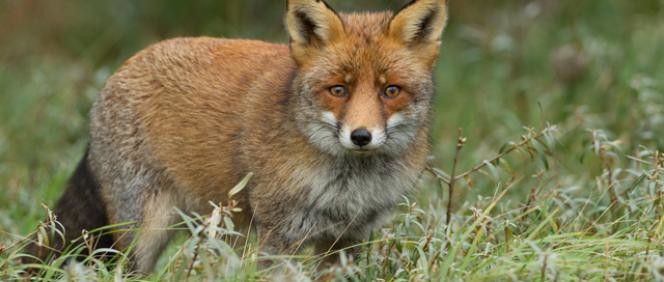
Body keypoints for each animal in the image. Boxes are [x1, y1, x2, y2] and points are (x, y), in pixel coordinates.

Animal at [28, 0, 448, 274]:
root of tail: (121, 69)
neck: (347, 188)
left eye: (390, 91)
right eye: (338, 90)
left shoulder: (348, 241)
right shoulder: (280, 237)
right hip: (144, 232)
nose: (361, 136)